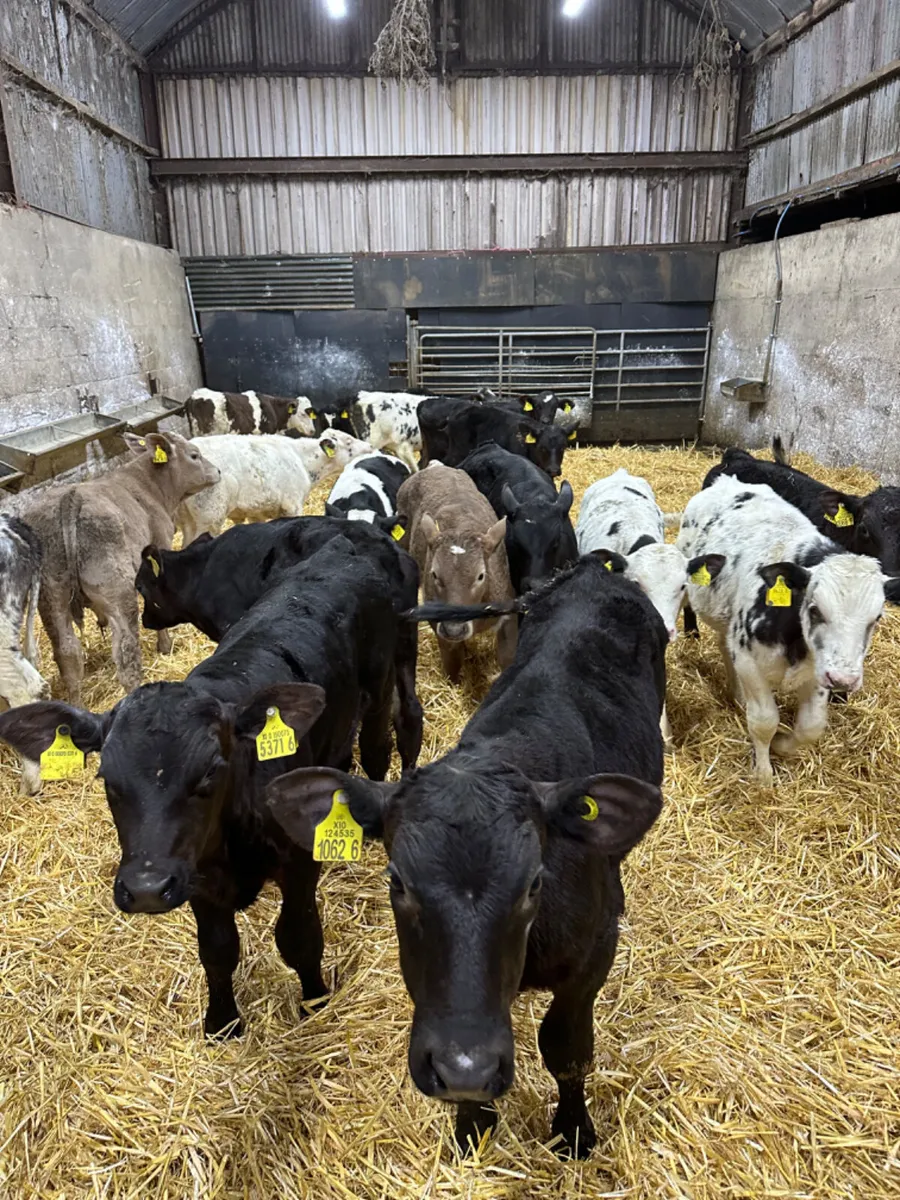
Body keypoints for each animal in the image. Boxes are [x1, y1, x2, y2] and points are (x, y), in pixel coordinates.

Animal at [0, 535, 424, 1039]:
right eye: (107, 778)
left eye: (208, 772)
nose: (145, 888)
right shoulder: (193, 873)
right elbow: (217, 950)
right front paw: (222, 1021)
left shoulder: (297, 866)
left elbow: (298, 938)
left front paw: (315, 1001)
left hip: (383, 681)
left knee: (381, 744)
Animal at [20, 432, 219, 703]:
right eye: (194, 455)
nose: (217, 471)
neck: (148, 487)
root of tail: (70, 497)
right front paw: (165, 647)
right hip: (117, 592)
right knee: (126, 654)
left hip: (52, 597)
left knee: (68, 654)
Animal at [176, 430, 371, 545]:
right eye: (348, 441)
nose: (370, 447)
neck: (302, 460)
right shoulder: (292, 506)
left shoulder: (256, 512)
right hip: (209, 517)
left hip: (186, 521)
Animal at [265, 554, 665, 1157]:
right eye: (397, 882)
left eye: (534, 884)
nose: (465, 1068)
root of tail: (593, 570)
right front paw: (472, 1127)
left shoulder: (596, 951)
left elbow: (567, 1048)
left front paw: (573, 1129)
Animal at [677, 474, 886, 783]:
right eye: (815, 609)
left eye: (877, 617)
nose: (843, 680)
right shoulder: (750, 662)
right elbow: (764, 721)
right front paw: (763, 774)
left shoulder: (818, 669)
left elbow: (811, 726)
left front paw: (782, 746)